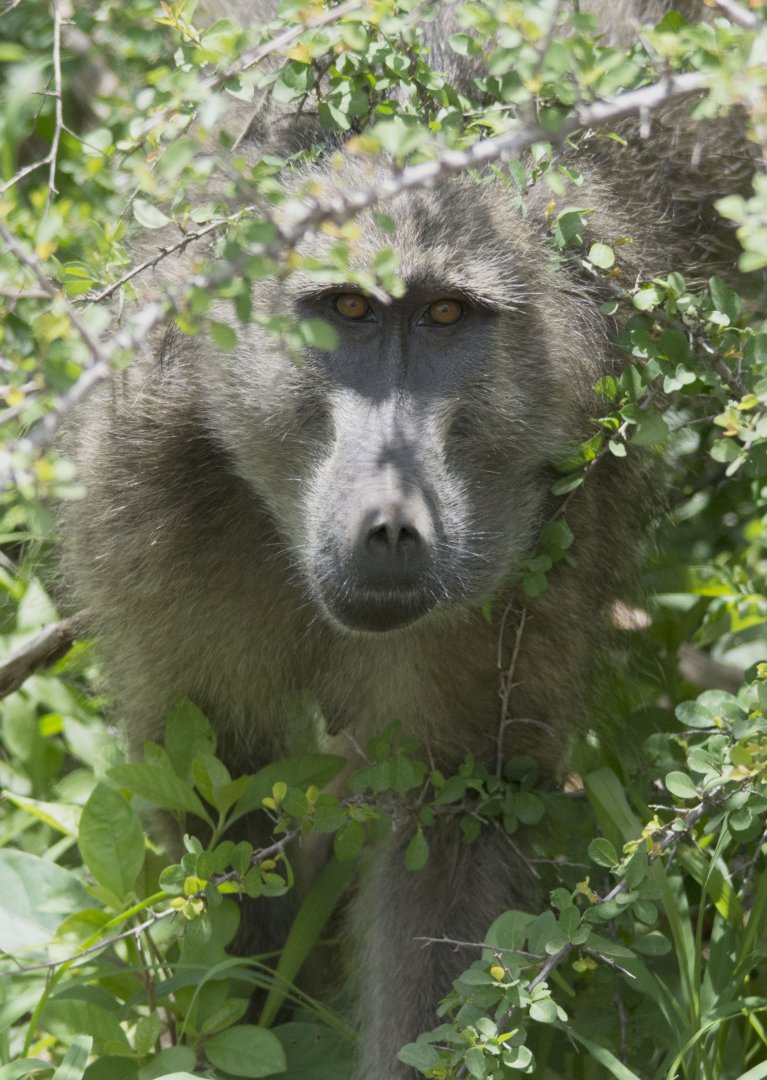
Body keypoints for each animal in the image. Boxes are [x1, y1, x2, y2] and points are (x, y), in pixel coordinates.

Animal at [59, 3, 754, 1077]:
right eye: (349, 309)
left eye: (444, 316)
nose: (391, 524)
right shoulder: (146, 502)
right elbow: (225, 800)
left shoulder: (525, 557)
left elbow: (449, 831)